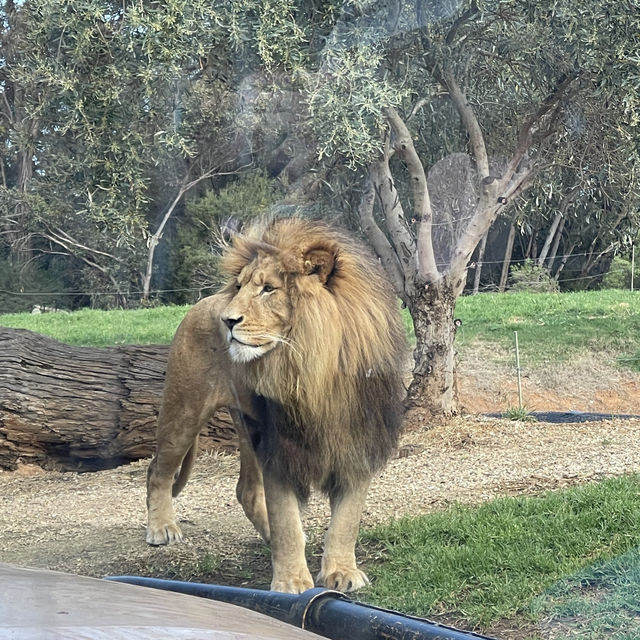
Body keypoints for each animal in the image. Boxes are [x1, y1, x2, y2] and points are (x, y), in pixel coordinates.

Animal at [146, 219, 404, 596]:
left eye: (268, 289)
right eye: (239, 286)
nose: (227, 321)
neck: (313, 375)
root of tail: (205, 302)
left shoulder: (358, 445)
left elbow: (346, 521)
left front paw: (341, 572)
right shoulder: (280, 450)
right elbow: (286, 523)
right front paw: (291, 581)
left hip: (245, 427)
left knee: (247, 491)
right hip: (184, 409)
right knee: (158, 470)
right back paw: (161, 527)